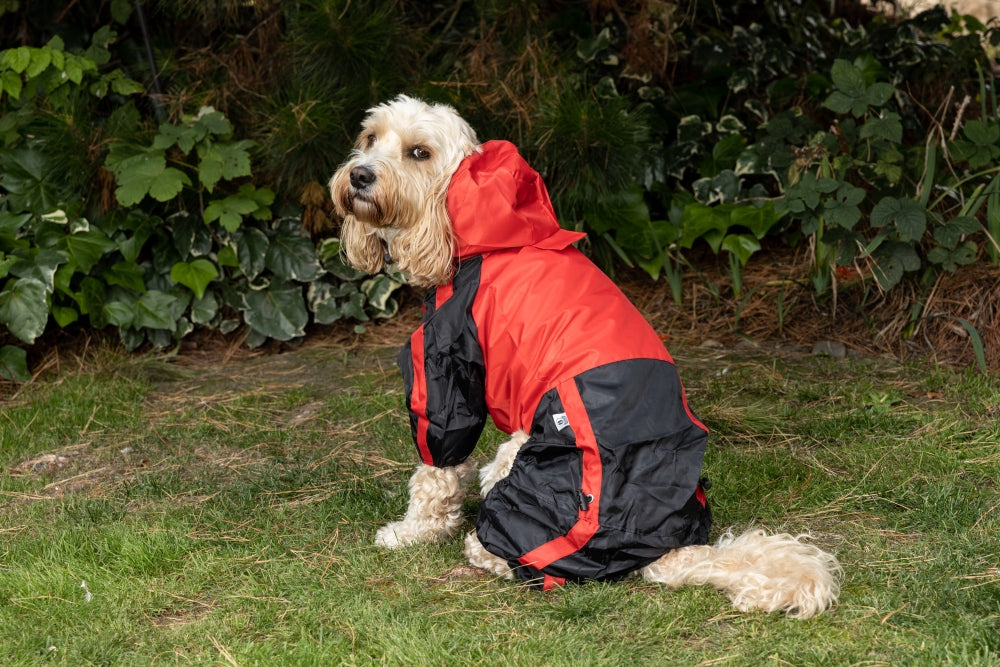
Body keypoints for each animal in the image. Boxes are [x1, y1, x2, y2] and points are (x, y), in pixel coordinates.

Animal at [330, 95, 844, 620]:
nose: (360, 175)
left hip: (526, 469)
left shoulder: (448, 367)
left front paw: (411, 532)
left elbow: (439, 464)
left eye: (419, 153)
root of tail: (661, 546)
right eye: (370, 137)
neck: (477, 230)